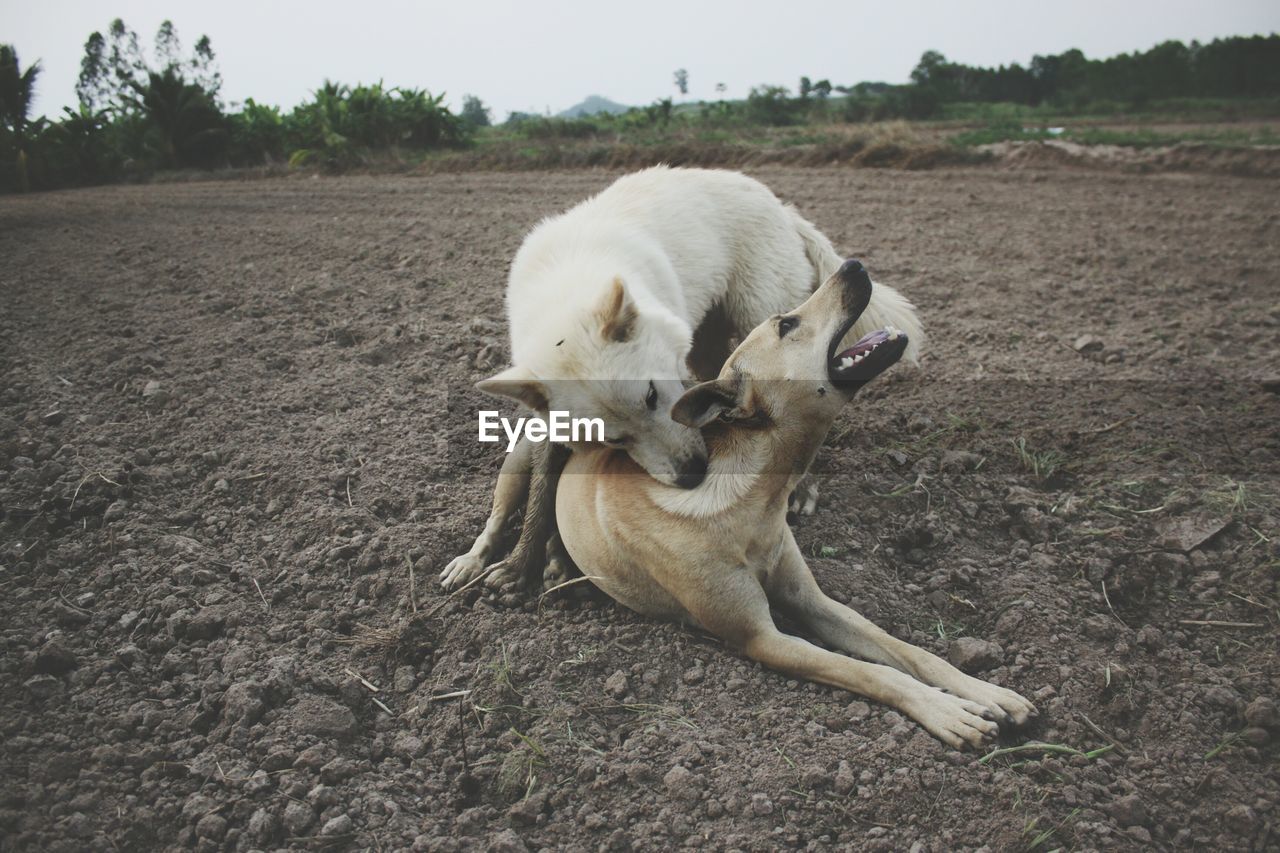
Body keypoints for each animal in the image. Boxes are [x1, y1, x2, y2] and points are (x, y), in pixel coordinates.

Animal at [440, 167, 921, 591]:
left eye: (653, 396)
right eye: (613, 440)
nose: (692, 476)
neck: (567, 294)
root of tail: (781, 207)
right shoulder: (557, 428)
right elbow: (543, 492)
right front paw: (524, 564)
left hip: (762, 316)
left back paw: (802, 487)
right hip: (706, 346)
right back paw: (471, 560)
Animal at [555, 258, 1034, 742]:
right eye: (787, 324)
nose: (853, 264)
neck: (751, 500)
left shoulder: (811, 601)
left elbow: (908, 651)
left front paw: (985, 691)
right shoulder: (762, 639)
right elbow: (873, 672)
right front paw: (947, 710)